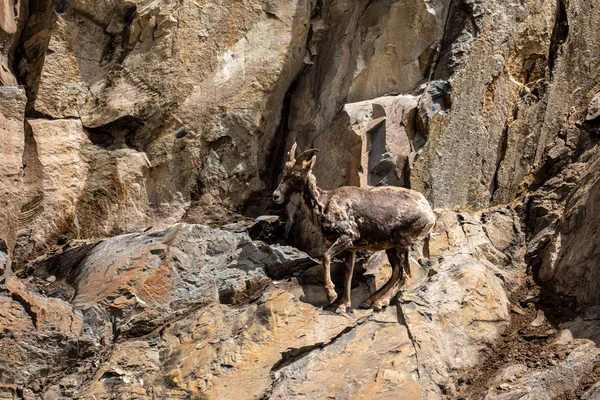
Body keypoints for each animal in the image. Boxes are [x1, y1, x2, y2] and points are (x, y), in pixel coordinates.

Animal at [274, 144, 436, 312]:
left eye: (296, 175)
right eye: (284, 173)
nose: (276, 196)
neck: (325, 203)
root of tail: (429, 214)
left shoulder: (348, 235)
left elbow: (325, 256)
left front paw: (332, 295)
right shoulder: (351, 248)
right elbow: (348, 274)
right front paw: (343, 305)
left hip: (403, 240)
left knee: (405, 274)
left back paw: (380, 302)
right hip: (391, 246)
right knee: (396, 272)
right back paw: (369, 301)